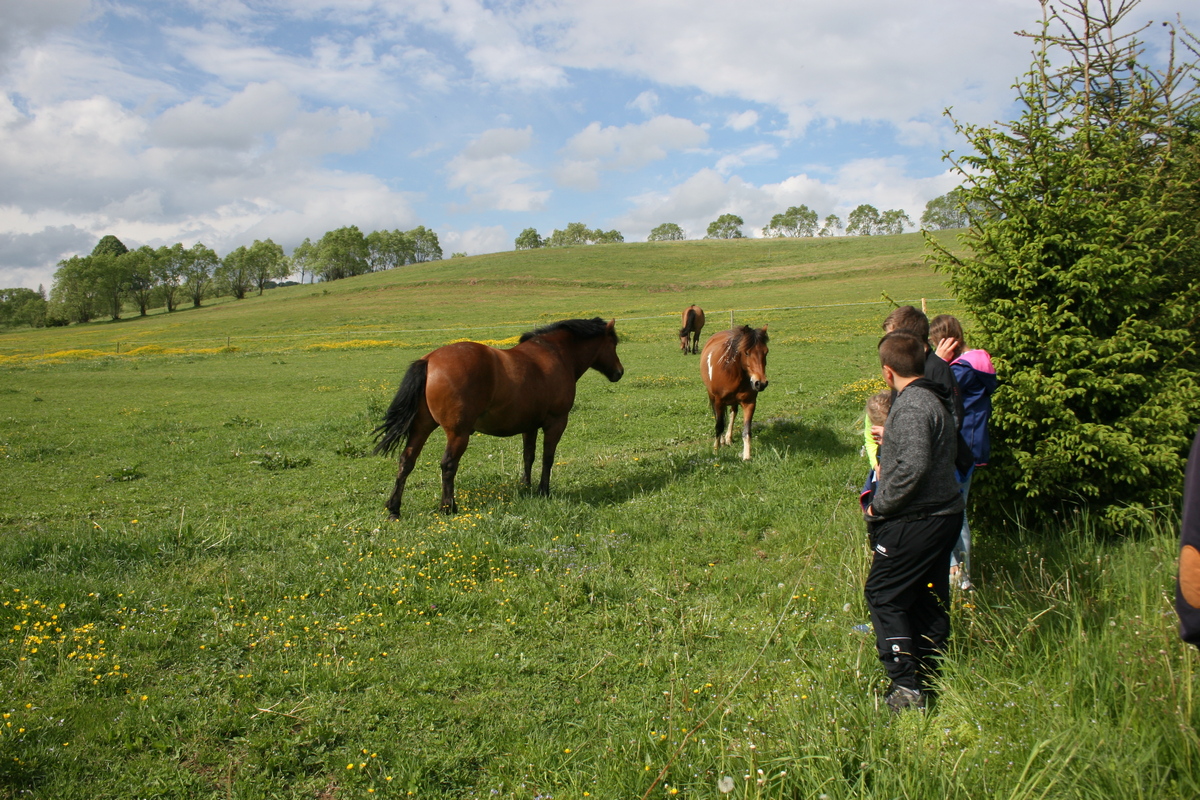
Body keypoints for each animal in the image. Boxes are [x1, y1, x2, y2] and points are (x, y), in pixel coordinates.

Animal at [372, 316, 619, 515]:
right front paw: (543, 490)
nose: (619, 372)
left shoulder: (529, 425)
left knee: (406, 461)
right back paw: (448, 507)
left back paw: (394, 508)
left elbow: (528, 456)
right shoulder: (556, 423)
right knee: (448, 465)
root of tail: (430, 360)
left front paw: (526, 487)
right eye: (614, 343)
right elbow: (548, 457)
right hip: (458, 434)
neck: (555, 354)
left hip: (421, 427)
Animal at [700, 326, 772, 460]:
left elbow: (747, 431)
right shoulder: (718, 401)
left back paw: (728, 438)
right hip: (712, 397)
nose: (760, 383)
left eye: (766, 352)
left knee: (732, 413)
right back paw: (722, 441)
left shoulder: (749, 403)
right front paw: (716, 450)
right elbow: (719, 425)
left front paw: (747, 456)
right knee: (719, 418)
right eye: (747, 352)